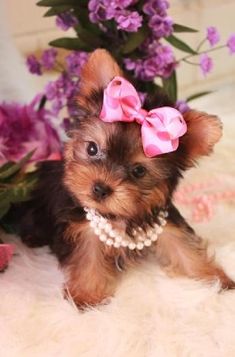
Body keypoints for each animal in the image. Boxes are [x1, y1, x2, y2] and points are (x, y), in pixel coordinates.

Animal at [20, 48, 235, 308]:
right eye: (92, 149)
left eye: (138, 171)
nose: (100, 188)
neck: (120, 216)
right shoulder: (82, 230)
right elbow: (87, 257)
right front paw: (87, 296)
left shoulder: (166, 222)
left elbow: (185, 249)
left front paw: (216, 279)